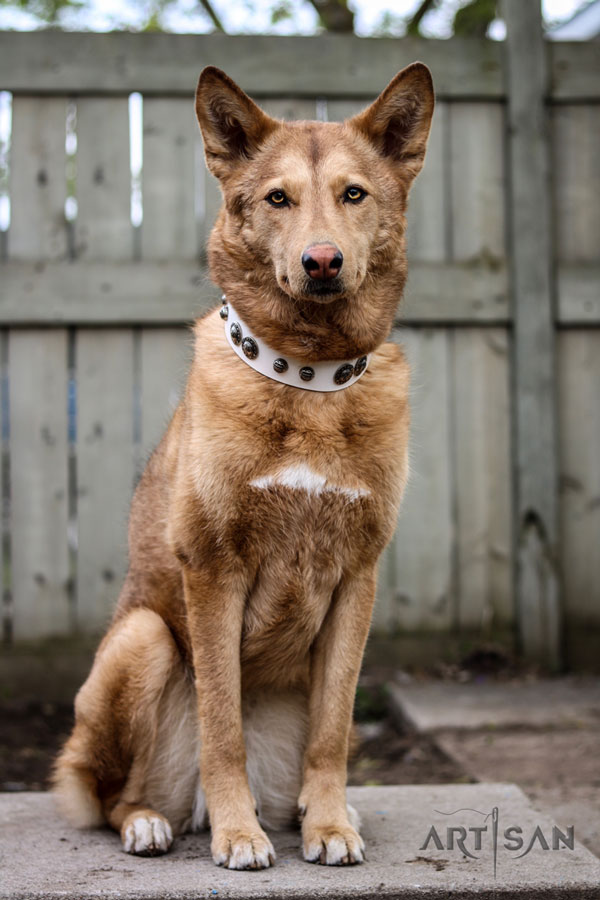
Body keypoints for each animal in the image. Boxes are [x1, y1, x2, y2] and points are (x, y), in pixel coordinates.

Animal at [54, 59, 434, 868]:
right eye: (276, 198)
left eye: (354, 194)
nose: (321, 262)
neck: (310, 378)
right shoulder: (212, 572)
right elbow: (221, 723)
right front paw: (238, 835)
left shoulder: (357, 580)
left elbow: (333, 730)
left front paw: (330, 825)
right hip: (143, 638)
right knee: (110, 795)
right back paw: (156, 822)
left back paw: (304, 813)